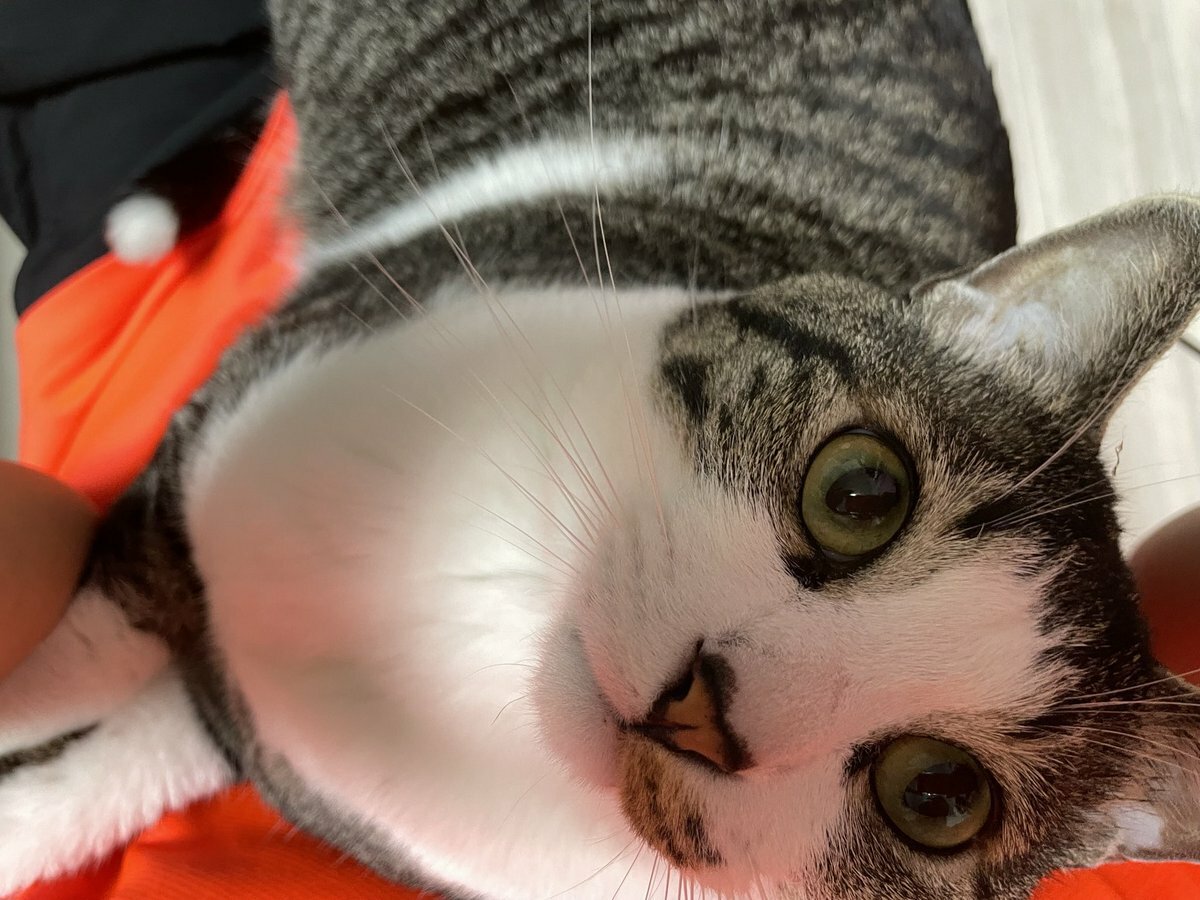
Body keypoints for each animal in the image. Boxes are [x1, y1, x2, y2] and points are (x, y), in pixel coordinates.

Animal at [3, 0, 1200, 898]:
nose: (707, 708)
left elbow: (127, 763)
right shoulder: (214, 436)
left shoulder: (260, 737)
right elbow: (89, 644)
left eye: (939, 798)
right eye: (862, 491)